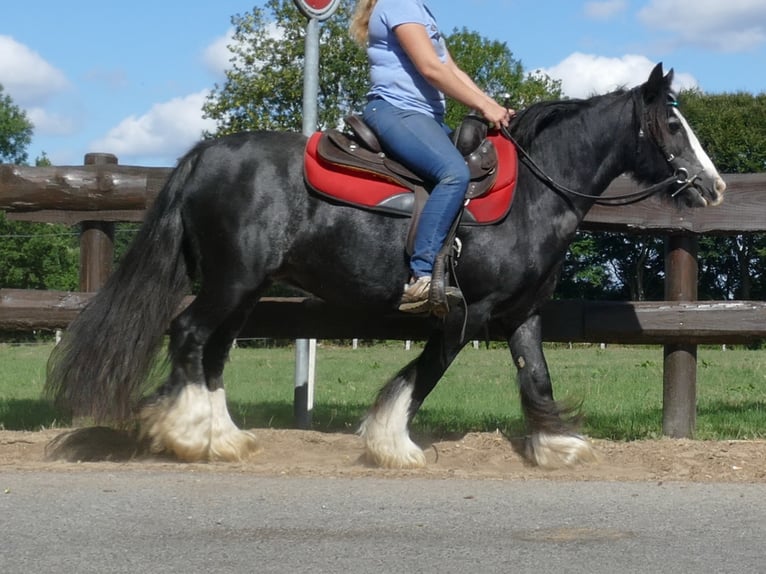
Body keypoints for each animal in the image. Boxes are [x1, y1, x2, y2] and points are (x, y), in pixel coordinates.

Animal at [46, 64, 728, 468]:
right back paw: (191, 436)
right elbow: (425, 372)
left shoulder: (522, 314)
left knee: (212, 350)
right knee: (189, 334)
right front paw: (392, 443)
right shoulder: (468, 312)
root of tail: (204, 155)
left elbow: (536, 377)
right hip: (231, 281)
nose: (715, 187)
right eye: (672, 124)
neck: (535, 192)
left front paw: (557, 444)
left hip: (245, 288)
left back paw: (226, 437)